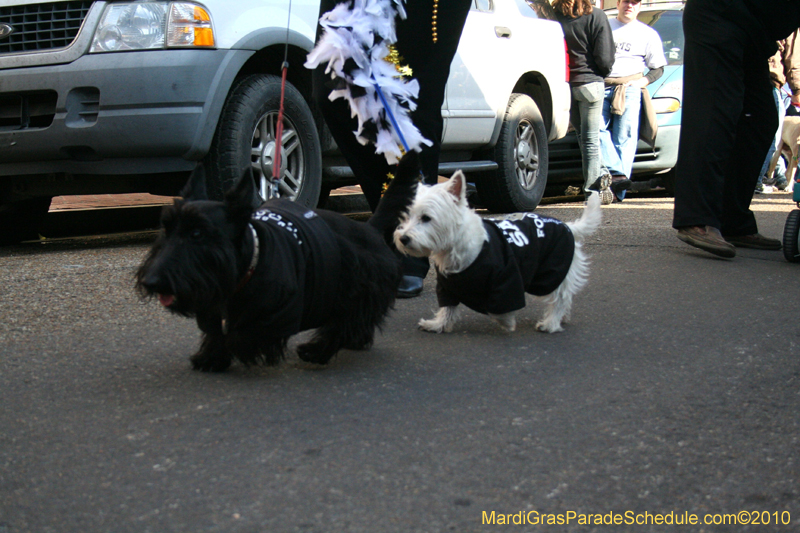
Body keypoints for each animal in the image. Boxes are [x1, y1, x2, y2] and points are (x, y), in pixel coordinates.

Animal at [394, 170, 600, 330]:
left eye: (426, 218)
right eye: (405, 217)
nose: (403, 239)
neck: (456, 246)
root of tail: (568, 227)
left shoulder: (507, 278)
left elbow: (498, 308)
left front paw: (506, 322)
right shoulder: (446, 286)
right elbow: (447, 307)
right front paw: (438, 324)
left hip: (553, 270)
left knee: (560, 297)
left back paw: (550, 323)